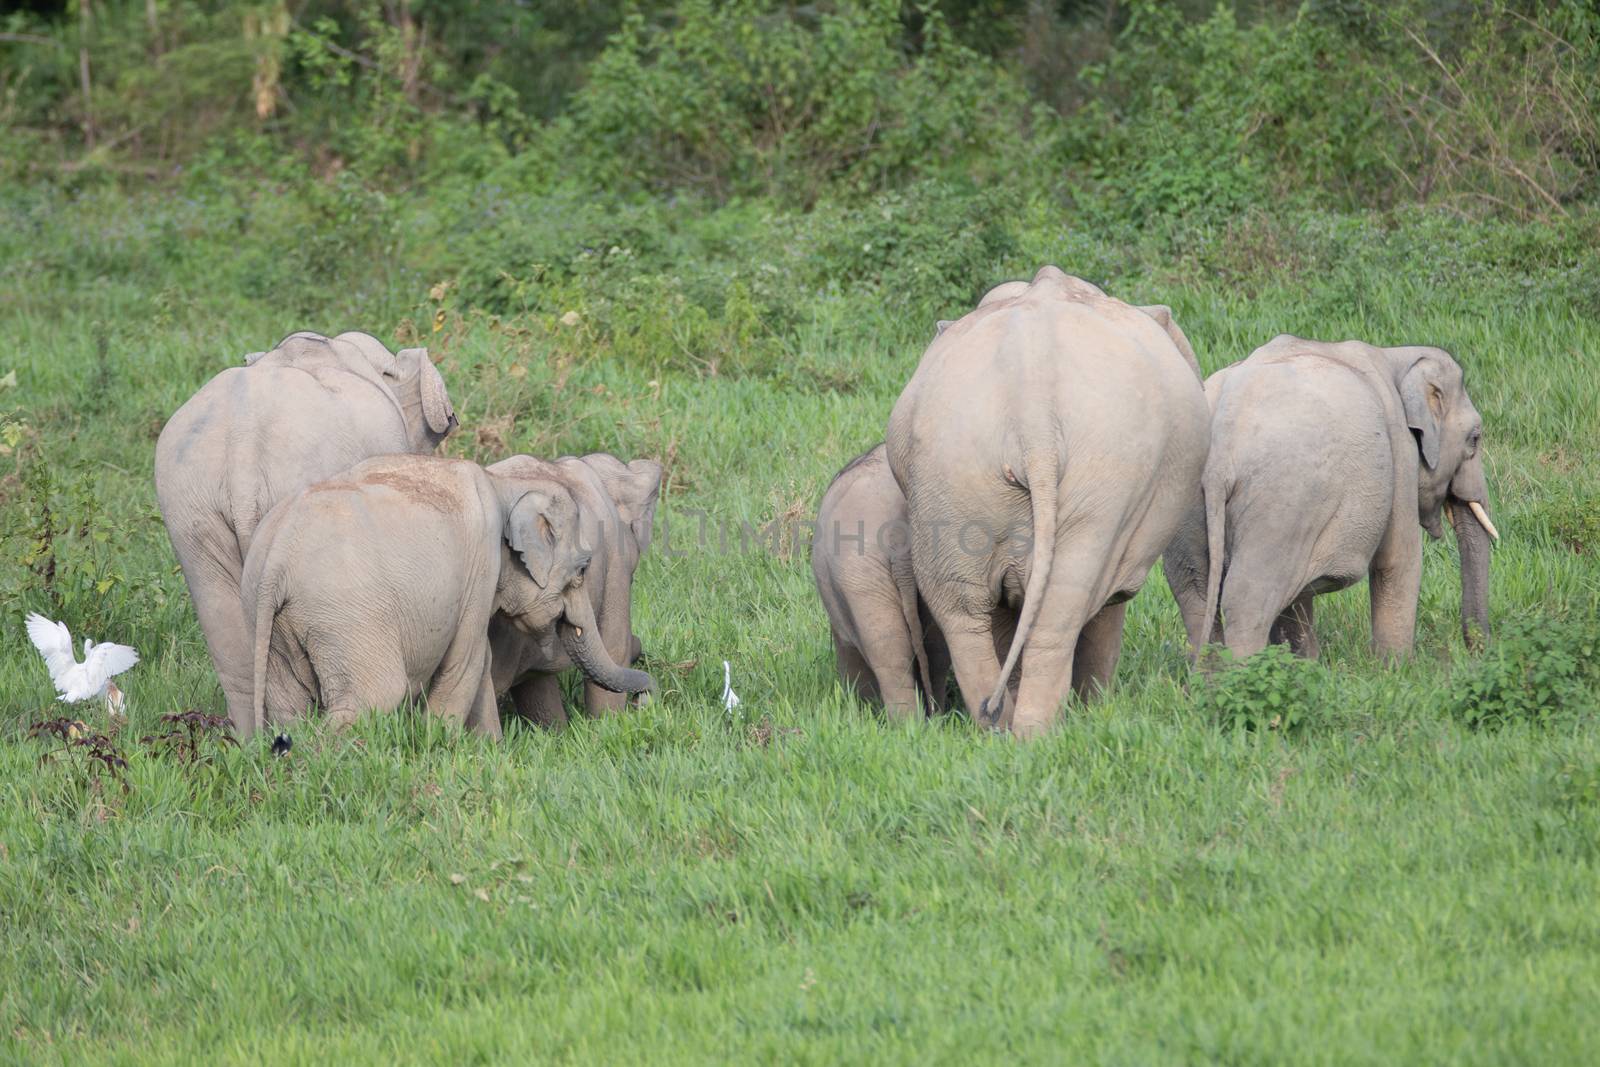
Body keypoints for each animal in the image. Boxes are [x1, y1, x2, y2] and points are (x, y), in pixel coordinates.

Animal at [236, 454, 649, 742]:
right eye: (582, 569)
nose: (646, 697)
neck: (502, 483)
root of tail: (276, 559)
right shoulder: (480, 570)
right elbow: (466, 661)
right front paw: (441, 746)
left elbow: (480, 664)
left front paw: (487, 751)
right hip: (346, 616)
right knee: (376, 695)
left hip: (275, 623)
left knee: (288, 705)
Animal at [883, 267, 1203, 739]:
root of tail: (1033, 418)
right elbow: (1113, 602)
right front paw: (1093, 708)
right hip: (1106, 480)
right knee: (1060, 613)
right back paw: (1035, 735)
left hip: (949, 473)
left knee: (963, 609)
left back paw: (997, 726)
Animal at [1158, 337, 1491, 662]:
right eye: (1474, 439)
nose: (1476, 653)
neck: (1395, 355)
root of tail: (1221, 448)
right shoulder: (1400, 453)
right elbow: (1399, 562)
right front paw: (1395, 670)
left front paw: (1306, 667)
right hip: (1281, 508)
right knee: (1247, 599)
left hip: (1187, 501)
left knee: (1196, 594)